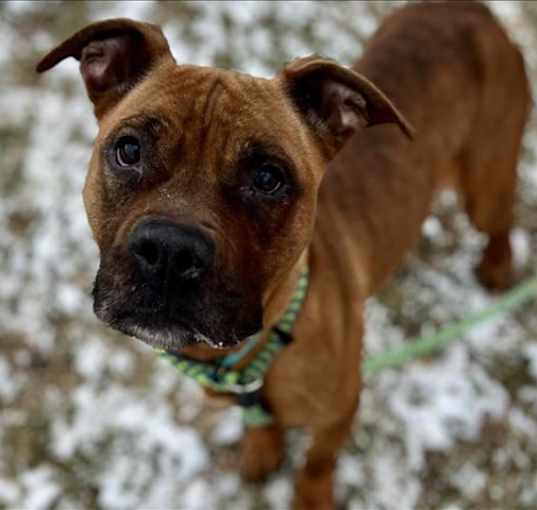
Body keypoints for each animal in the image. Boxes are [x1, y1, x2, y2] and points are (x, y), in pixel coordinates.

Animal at [36, 1, 528, 508]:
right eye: (129, 150)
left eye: (269, 178)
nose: (170, 250)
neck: (249, 353)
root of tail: (469, 10)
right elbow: (262, 425)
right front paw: (261, 449)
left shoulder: (341, 409)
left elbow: (317, 462)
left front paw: (310, 496)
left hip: (484, 184)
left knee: (500, 221)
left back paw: (497, 266)